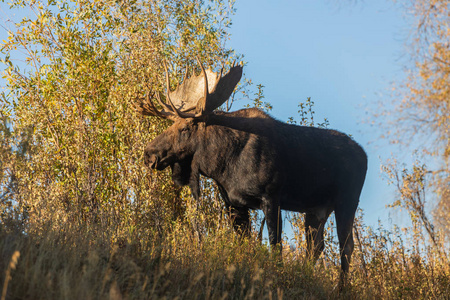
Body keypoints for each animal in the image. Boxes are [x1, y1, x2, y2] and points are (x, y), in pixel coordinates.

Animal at [136, 60, 366, 282]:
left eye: (185, 128)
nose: (149, 154)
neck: (223, 165)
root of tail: (364, 155)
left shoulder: (271, 197)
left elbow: (275, 244)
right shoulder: (233, 203)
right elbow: (244, 243)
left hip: (347, 201)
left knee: (346, 246)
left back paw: (342, 288)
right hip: (317, 208)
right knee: (316, 246)